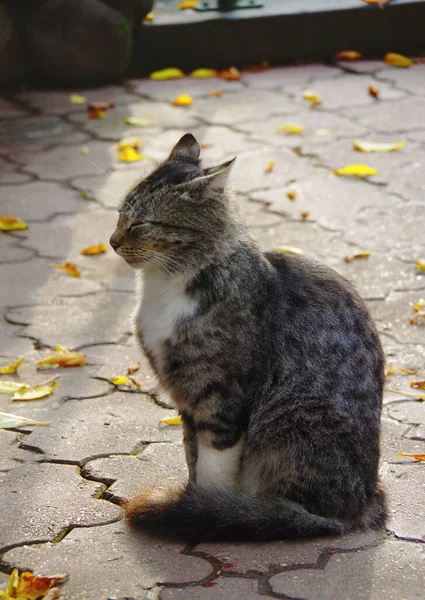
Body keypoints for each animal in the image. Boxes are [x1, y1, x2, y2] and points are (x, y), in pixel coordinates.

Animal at [110, 134, 388, 540]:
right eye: (119, 216)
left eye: (140, 223)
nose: (112, 241)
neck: (164, 287)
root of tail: (367, 501)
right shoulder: (186, 401)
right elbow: (192, 457)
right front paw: (192, 500)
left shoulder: (222, 400)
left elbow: (213, 471)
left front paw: (203, 510)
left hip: (294, 418)